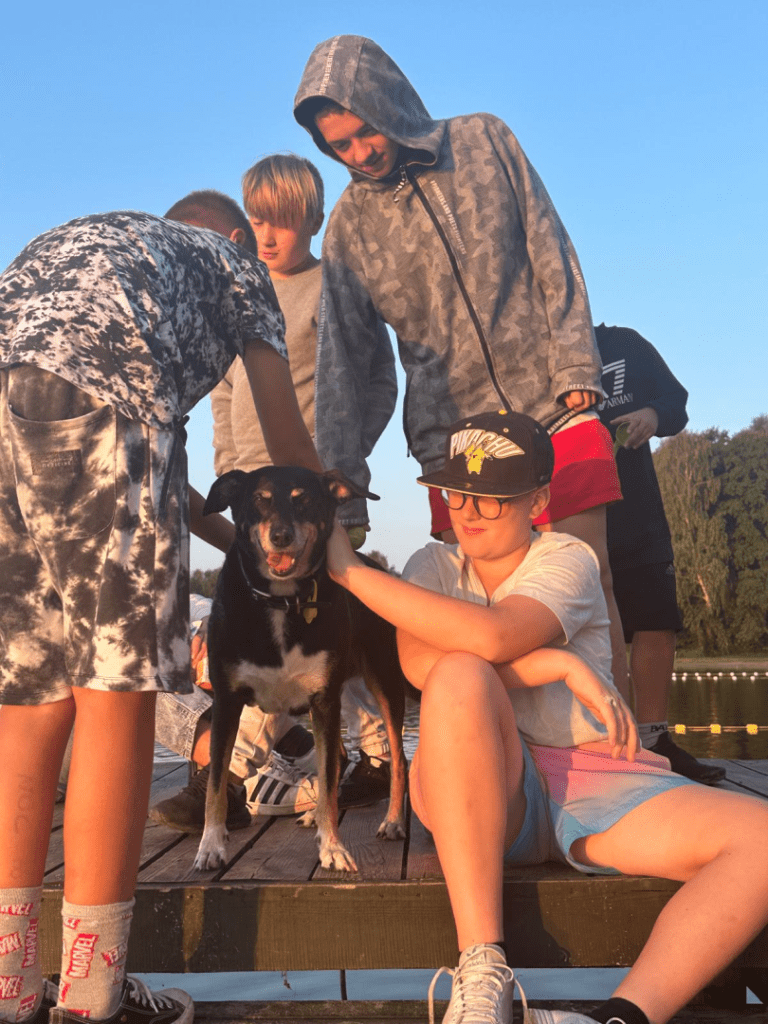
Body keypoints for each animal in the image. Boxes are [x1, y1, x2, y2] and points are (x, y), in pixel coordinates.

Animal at [193, 465, 408, 873]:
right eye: (259, 499)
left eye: (303, 499)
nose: (281, 536)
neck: (280, 600)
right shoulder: (227, 702)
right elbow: (215, 784)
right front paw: (210, 847)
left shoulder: (325, 701)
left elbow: (328, 779)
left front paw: (333, 847)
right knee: (338, 761)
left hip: (385, 683)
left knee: (397, 760)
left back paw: (392, 822)